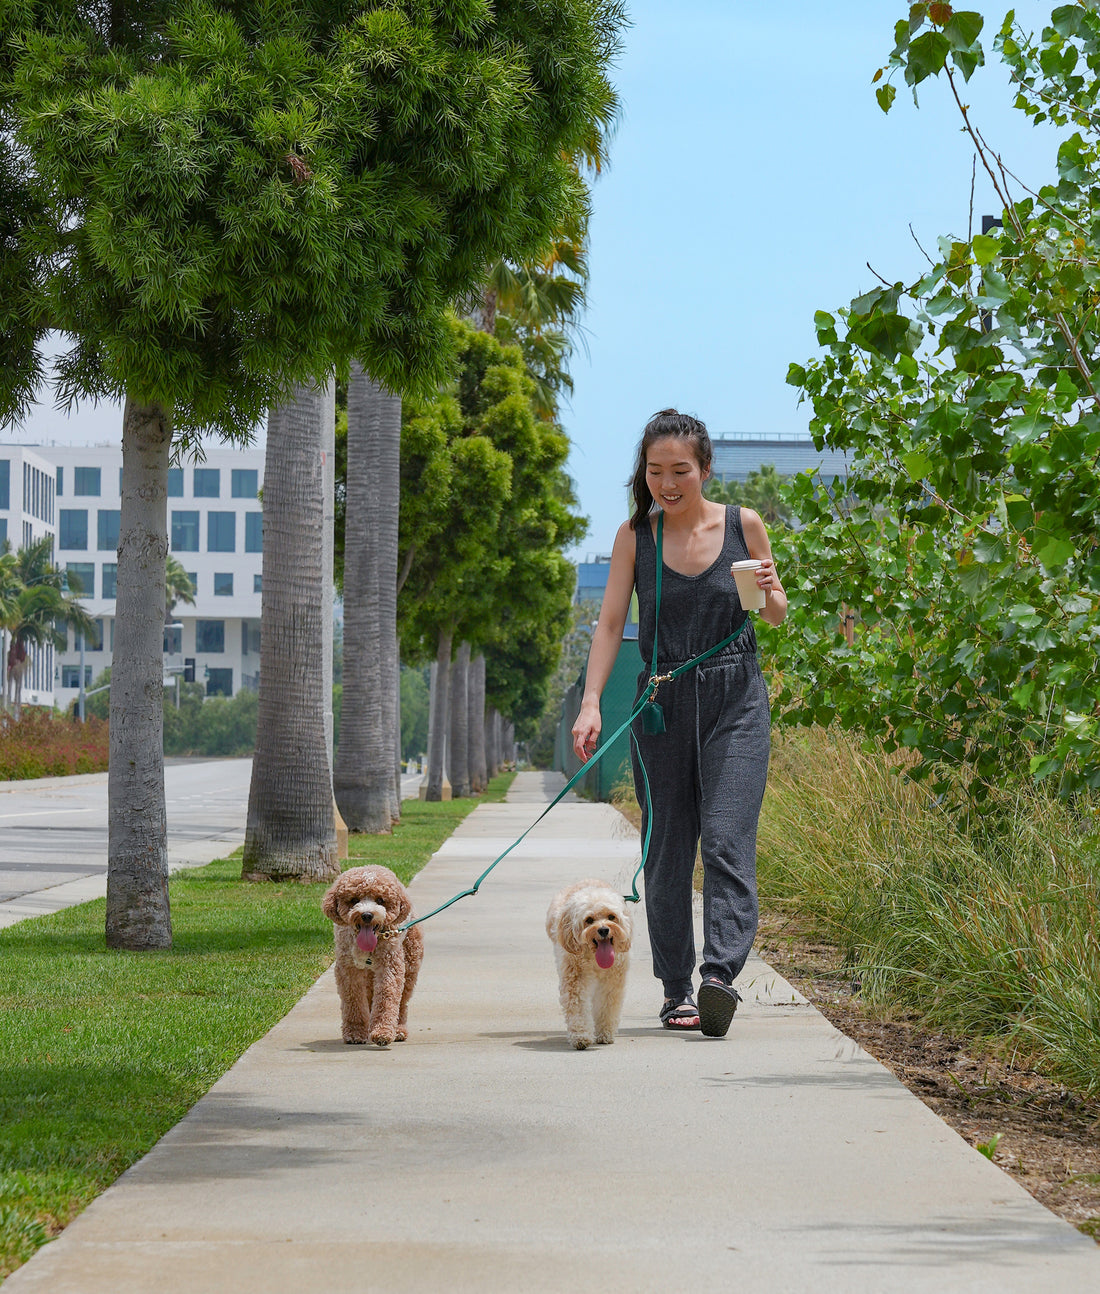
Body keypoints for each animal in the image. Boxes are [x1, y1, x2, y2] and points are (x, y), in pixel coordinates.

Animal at [319, 864, 421, 1045]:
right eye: (354, 900)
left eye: (380, 900)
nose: (366, 915)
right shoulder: (348, 970)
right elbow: (353, 1002)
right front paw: (355, 1032)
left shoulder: (390, 967)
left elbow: (387, 998)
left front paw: (382, 1032)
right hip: (367, 975)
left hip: (410, 966)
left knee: (402, 1003)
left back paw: (398, 1029)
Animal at [543, 879, 628, 1050]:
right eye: (589, 920)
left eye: (612, 916)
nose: (603, 930)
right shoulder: (575, 980)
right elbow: (578, 1008)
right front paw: (581, 1036)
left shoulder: (611, 983)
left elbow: (606, 1006)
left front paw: (604, 1033)